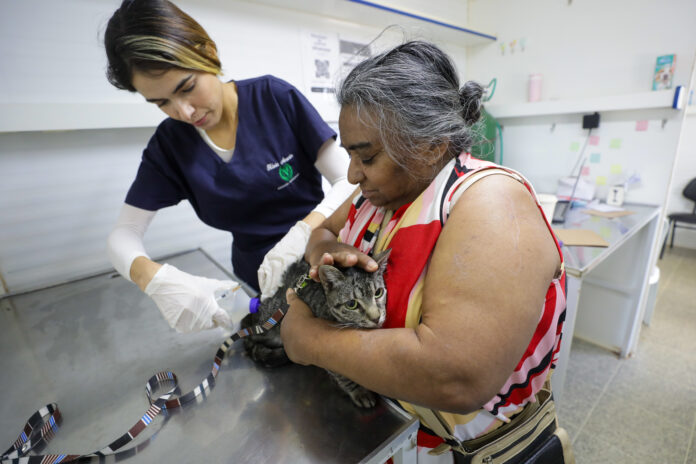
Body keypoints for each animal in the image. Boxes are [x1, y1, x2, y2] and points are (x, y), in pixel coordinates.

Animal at [242, 248, 388, 408]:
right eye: (352, 304)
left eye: (378, 293)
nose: (376, 318)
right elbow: (342, 375)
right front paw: (359, 391)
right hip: (269, 328)